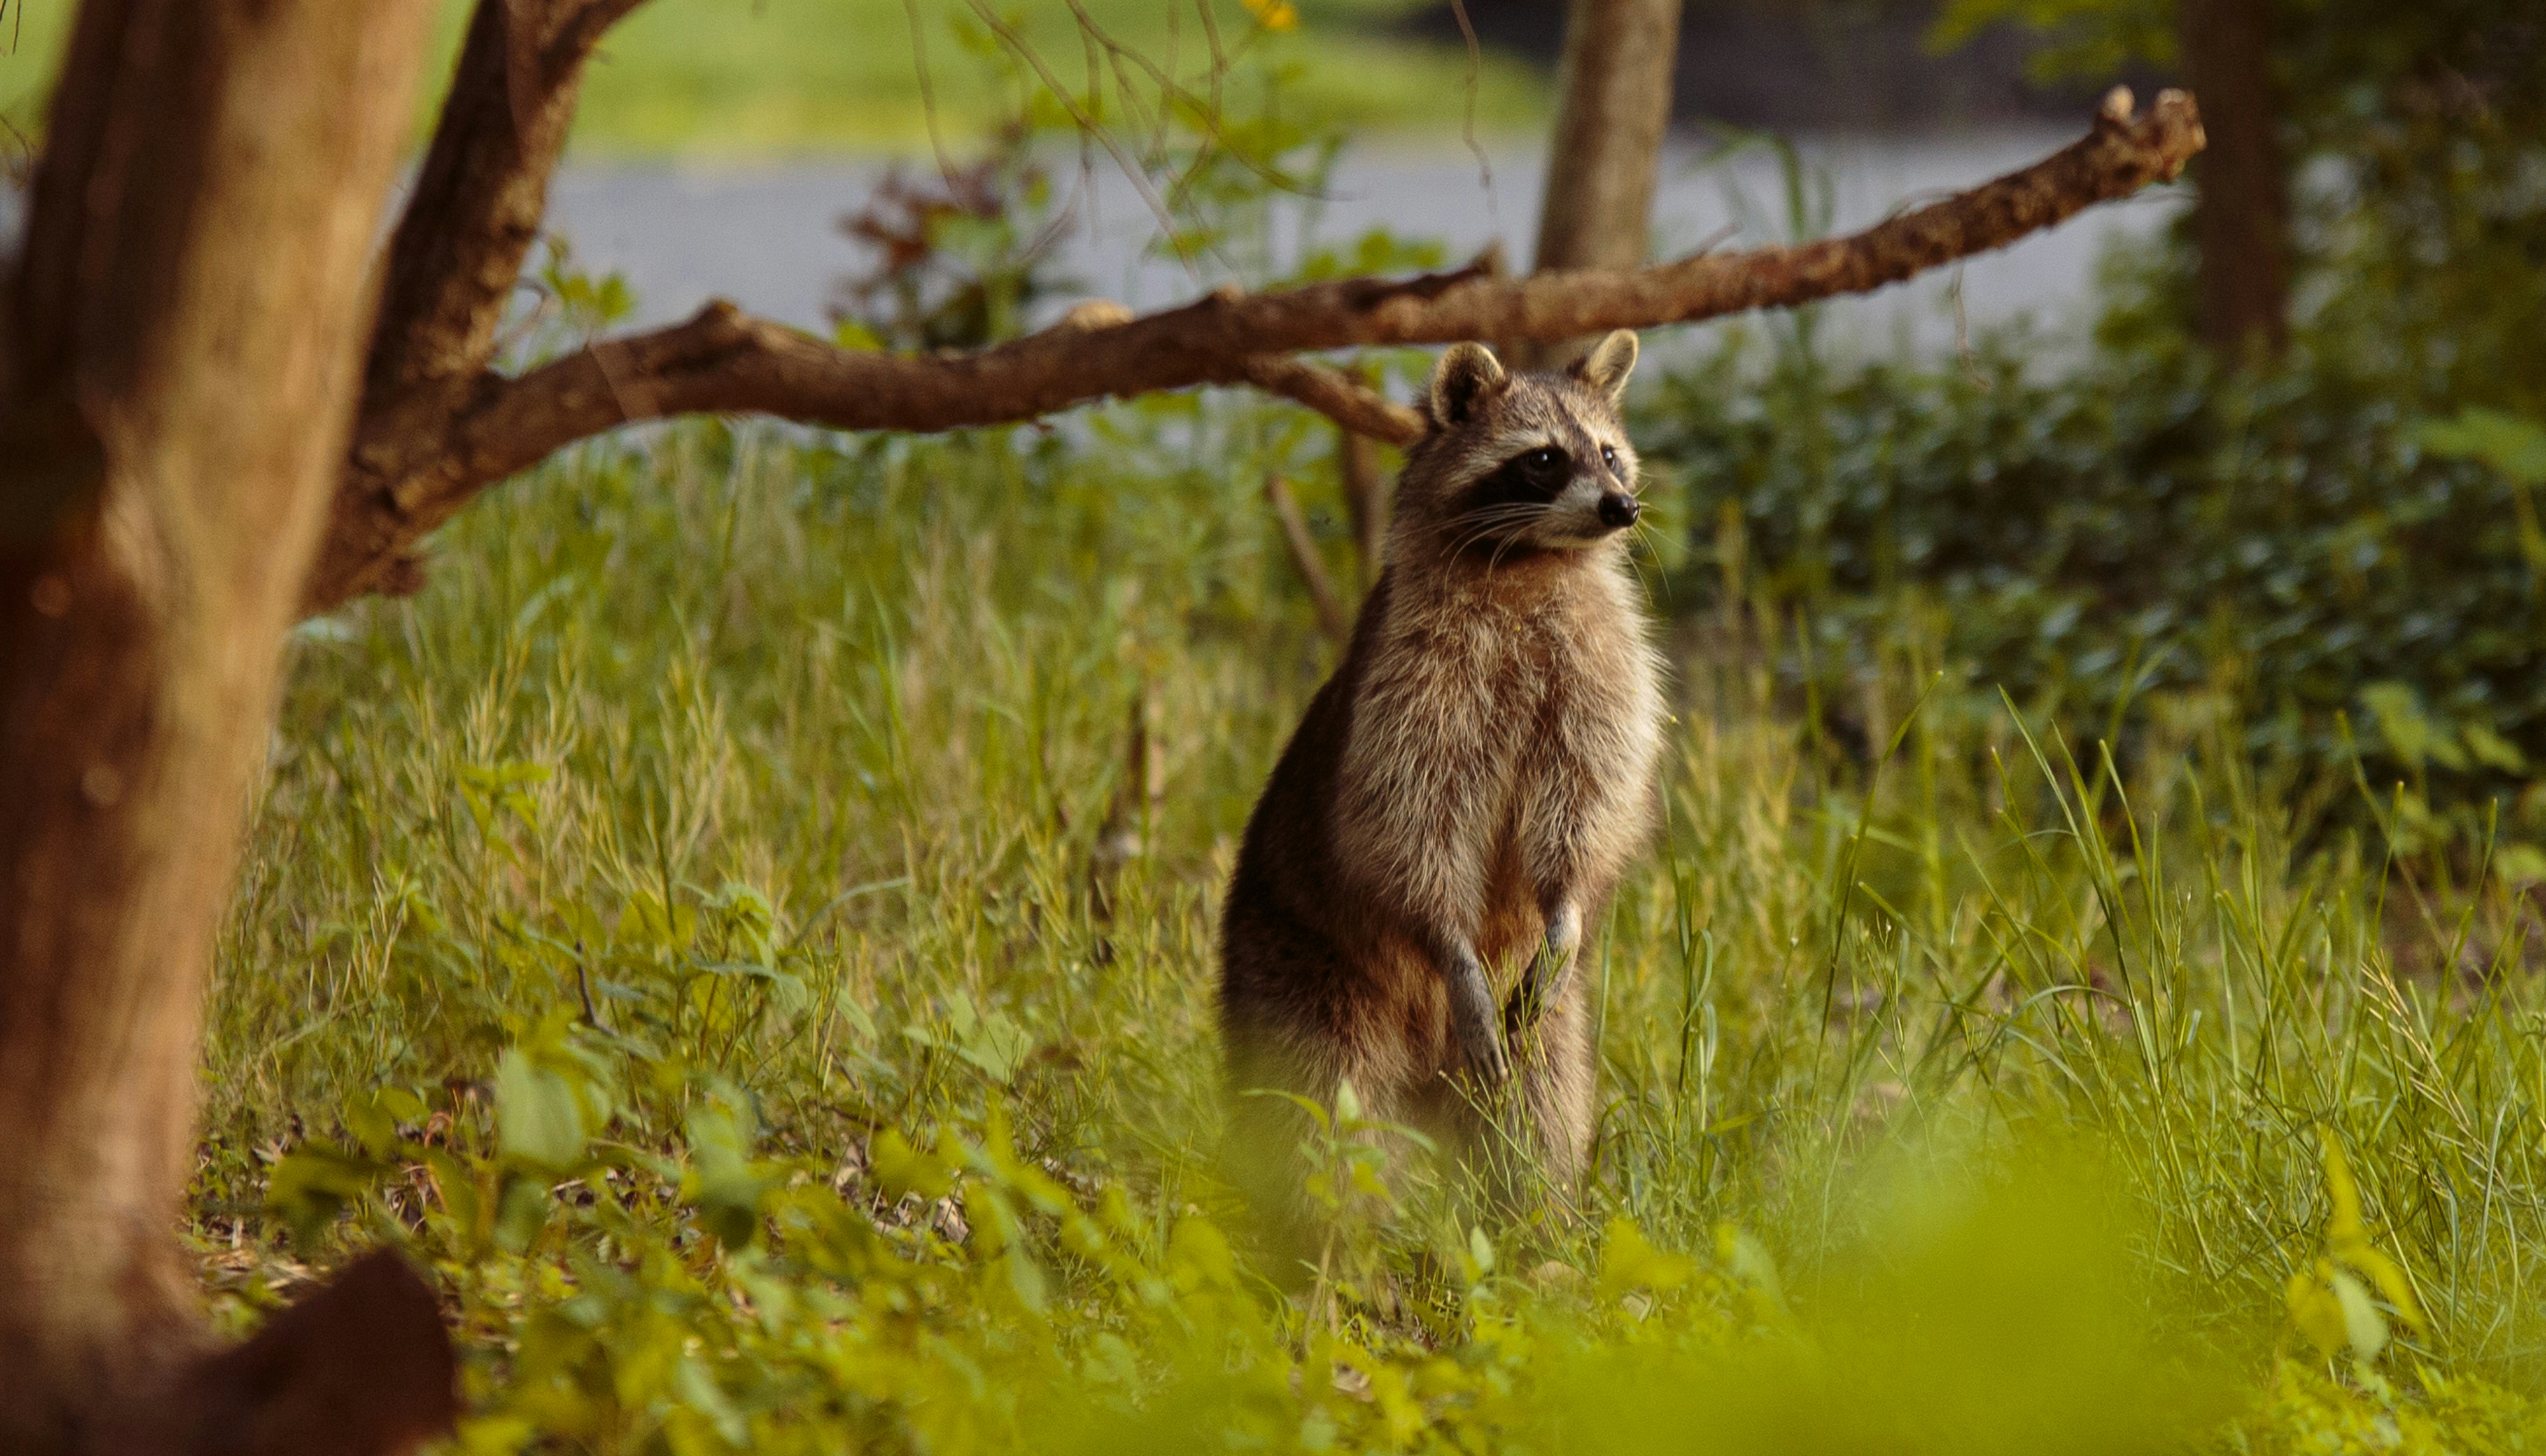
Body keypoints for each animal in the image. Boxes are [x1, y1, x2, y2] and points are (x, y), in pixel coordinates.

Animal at [1217, 331, 1670, 1252]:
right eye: (1544, 458)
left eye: (1609, 453)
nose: (1622, 508)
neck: (1533, 560)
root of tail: (1430, 1073)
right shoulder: (1413, 673)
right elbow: (1406, 819)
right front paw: (1449, 942)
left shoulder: (1602, 663)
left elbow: (1589, 797)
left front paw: (1568, 904)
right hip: (1299, 969)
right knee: (1320, 1111)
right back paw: (1328, 1247)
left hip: (1543, 1023)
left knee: (1539, 1104)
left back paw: (1535, 1233)